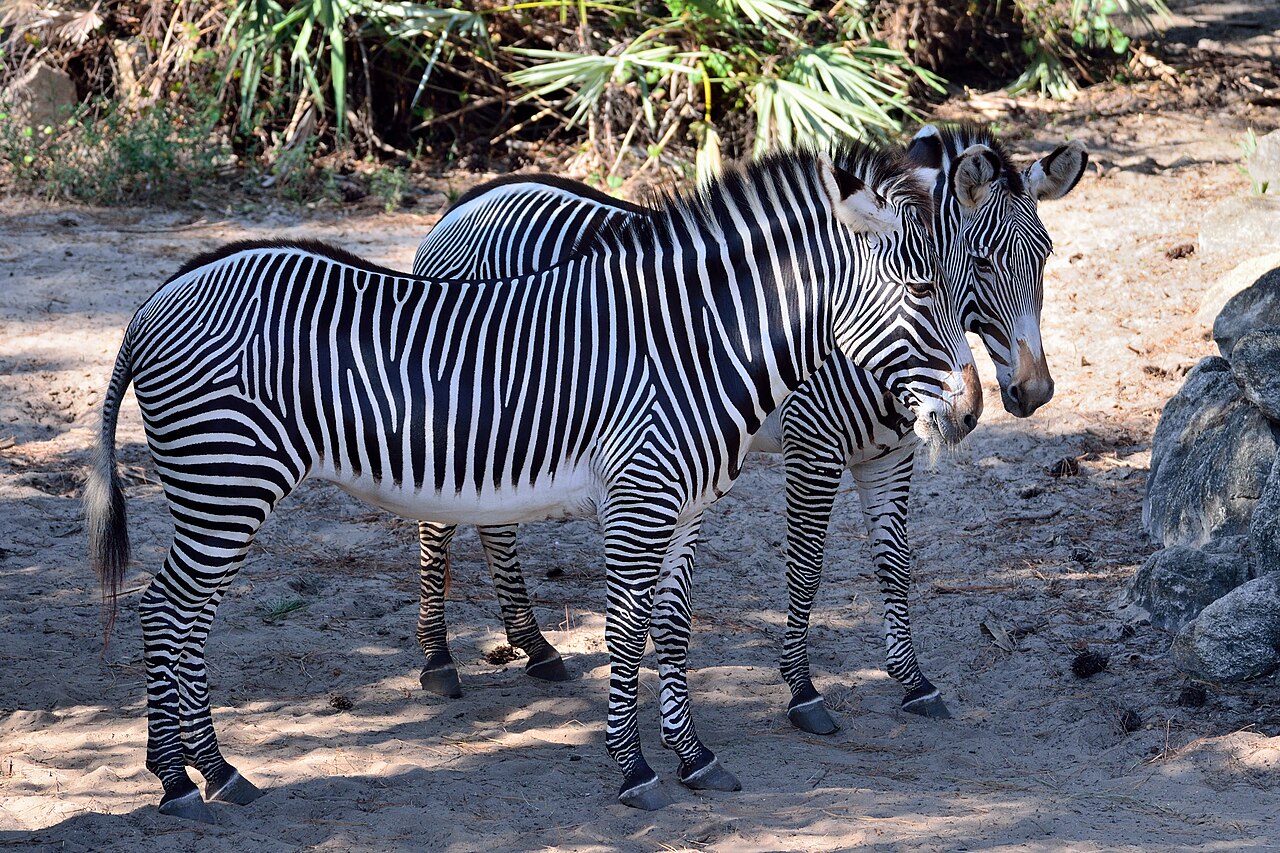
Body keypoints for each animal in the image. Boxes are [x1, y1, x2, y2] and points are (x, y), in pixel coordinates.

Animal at [87, 143, 982, 818]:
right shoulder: (639, 499)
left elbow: (674, 631)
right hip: (227, 479)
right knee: (169, 610)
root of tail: (153, 300)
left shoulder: (690, 507)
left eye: (959, 286)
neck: (696, 346)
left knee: (182, 613)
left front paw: (693, 755)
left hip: (219, 484)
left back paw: (207, 773)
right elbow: (625, 632)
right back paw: (184, 779)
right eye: (921, 288)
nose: (975, 410)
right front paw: (634, 770)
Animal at [406, 123, 1087, 731]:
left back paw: (536, 646)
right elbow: (806, 567)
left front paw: (914, 682)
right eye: (978, 264)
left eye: (1046, 257)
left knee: (494, 520)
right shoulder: (813, 446)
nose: (1034, 392)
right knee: (438, 520)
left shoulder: (889, 455)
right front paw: (803, 692)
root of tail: (469, 199)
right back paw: (439, 661)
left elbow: (895, 566)